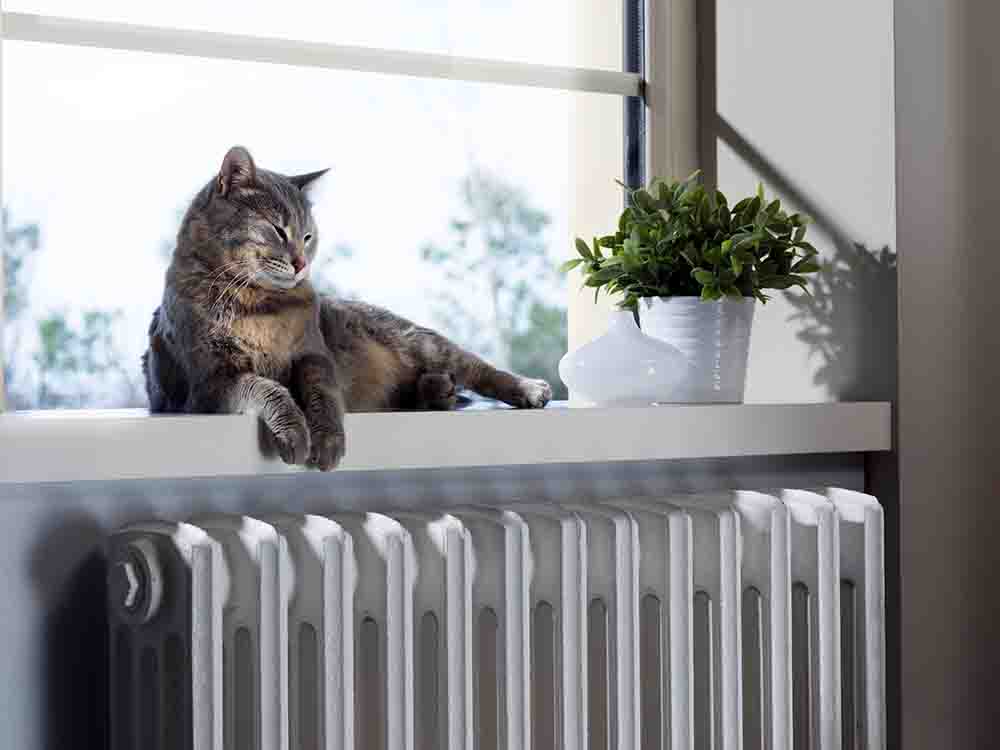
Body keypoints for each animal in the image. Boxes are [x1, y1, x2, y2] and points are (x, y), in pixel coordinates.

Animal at [144, 147, 552, 470]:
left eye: (308, 237)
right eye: (278, 229)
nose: (300, 263)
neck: (258, 305)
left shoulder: (313, 354)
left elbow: (322, 393)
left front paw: (326, 441)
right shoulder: (210, 382)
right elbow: (266, 388)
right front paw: (294, 431)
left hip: (416, 339)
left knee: (476, 367)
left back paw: (525, 387)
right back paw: (438, 389)